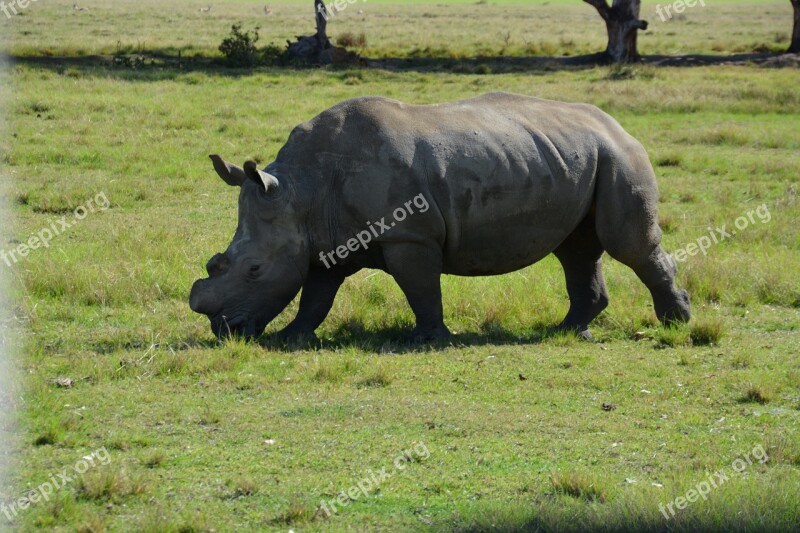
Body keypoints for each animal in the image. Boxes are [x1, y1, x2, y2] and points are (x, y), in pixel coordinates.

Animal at [191, 91, 692, 340]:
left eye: (254, 270)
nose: (224, 331)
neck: (304, 192)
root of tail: (618, 125)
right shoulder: (325, 241)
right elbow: (316, 295)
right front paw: (293, 338)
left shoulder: (408, 236)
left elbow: (420, 289)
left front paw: (430, 339)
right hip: (575, 157)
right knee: (576, 250)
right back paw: (567, 332)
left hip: (619, 157)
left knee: (626, 245)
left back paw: (676, 323)